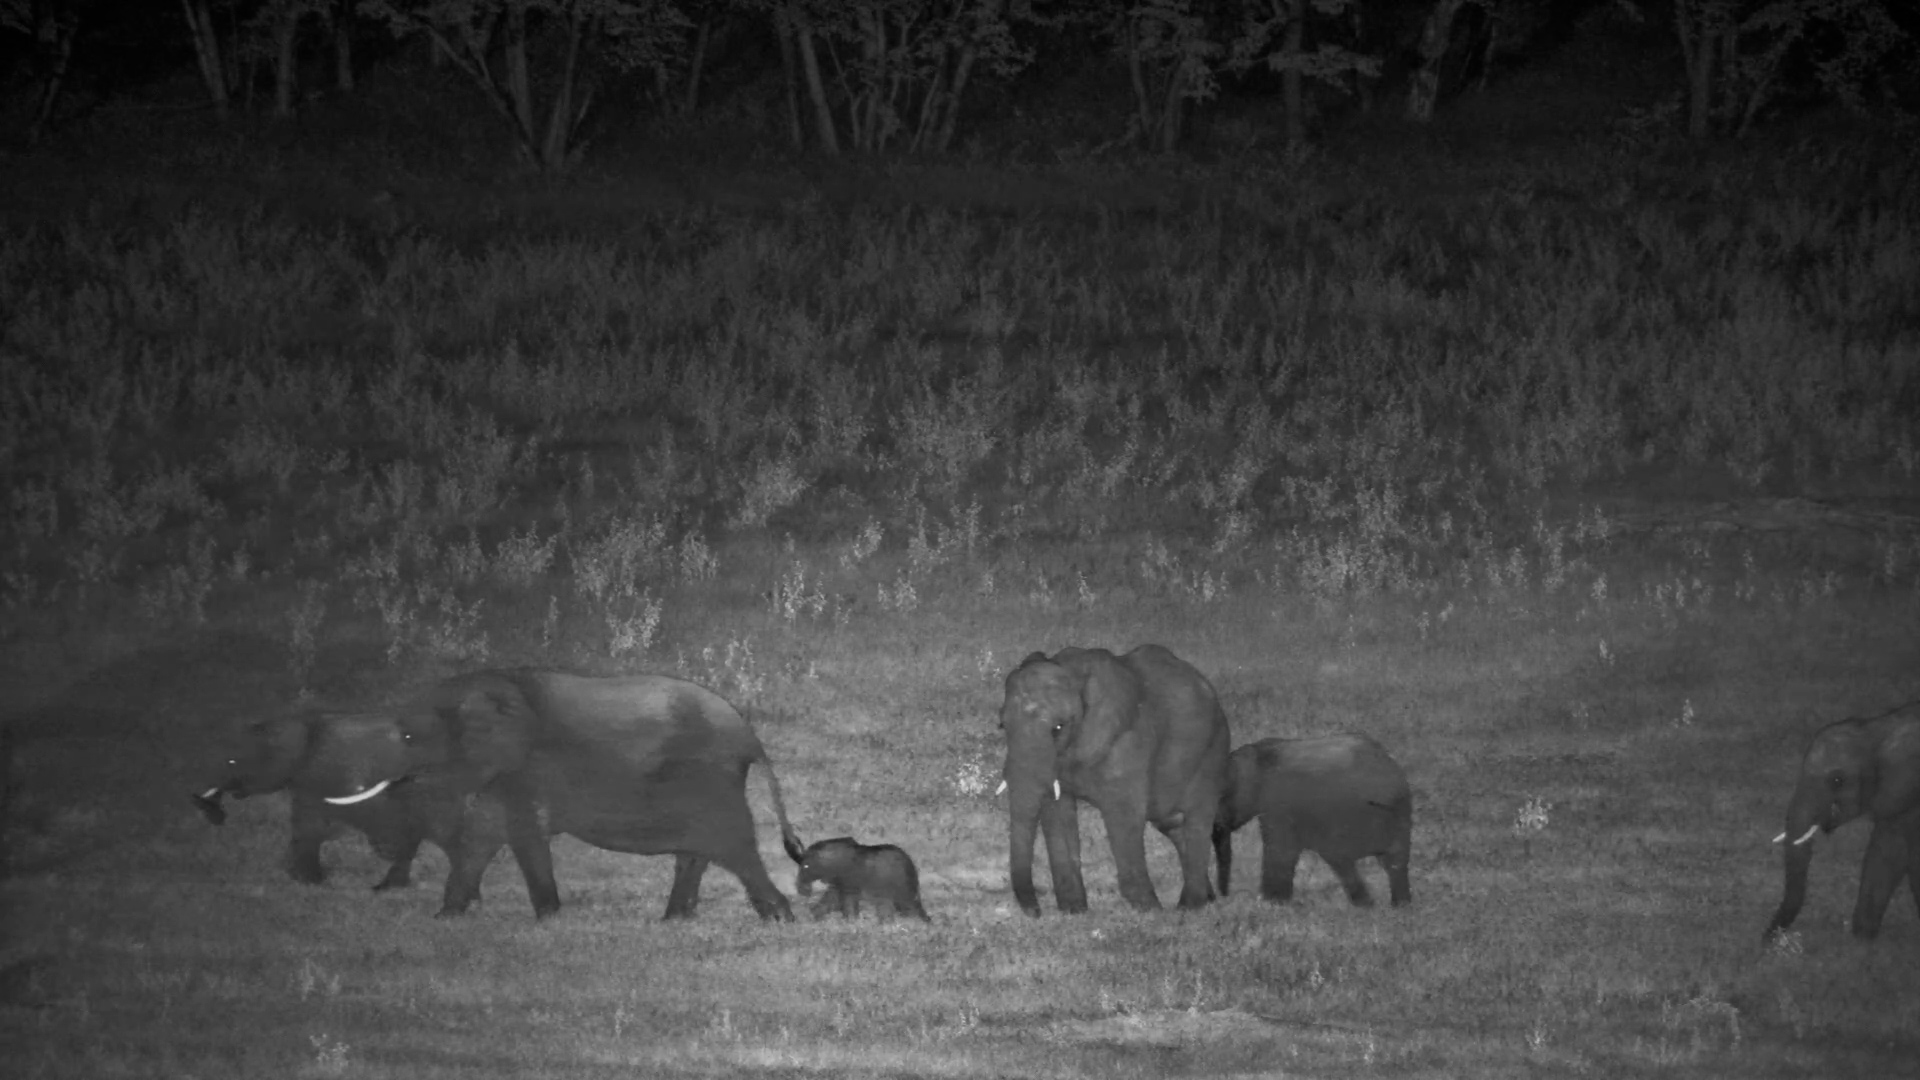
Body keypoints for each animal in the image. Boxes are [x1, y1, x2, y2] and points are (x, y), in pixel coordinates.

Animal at [334, 669, 803, 922]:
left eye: (407, 737)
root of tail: (749, 736)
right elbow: (481, 838)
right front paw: (444, 917)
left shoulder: (524, 766)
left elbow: (522, 834)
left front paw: (547, 919)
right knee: (699, 851)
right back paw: (674, 921)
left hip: (708, 780)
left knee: (732, 847)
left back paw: (779, 919)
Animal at [788, 835, 931, 922]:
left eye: (805, 866)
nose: (801, 888)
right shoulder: (838, 887)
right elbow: (828, 902)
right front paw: (813, 914)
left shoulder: (849, 887)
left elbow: (847, 906)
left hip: (900, 892)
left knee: (908, 908)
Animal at [998, 645, 1230, 916]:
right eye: (1002, 726)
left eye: (1058, 728)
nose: (1036, 913)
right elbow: (1057, 812)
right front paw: (1074, 912)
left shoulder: (1128, 744)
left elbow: (1124, 816)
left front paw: (1149, 911)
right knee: (1172, 824)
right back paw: (1204, 901)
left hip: (1213, 752)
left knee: (1197, 819)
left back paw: (1190, 908)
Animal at [1213, 735, 1412, 907]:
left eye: (1222, 797)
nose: (1223, 897)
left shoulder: (1278, 803)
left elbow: (1280, 850)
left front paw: (1270, 904)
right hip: (1400, 813)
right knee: (1394, 862)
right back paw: (1394, 906)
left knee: (1340, 857)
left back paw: (1368, 905)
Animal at [1766, 701, 1920, 940]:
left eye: (1837, 780)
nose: (1765, 941)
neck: (1878, 730)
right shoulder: (1896, 796)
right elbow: (1888, 850)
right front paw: (1862, 940)